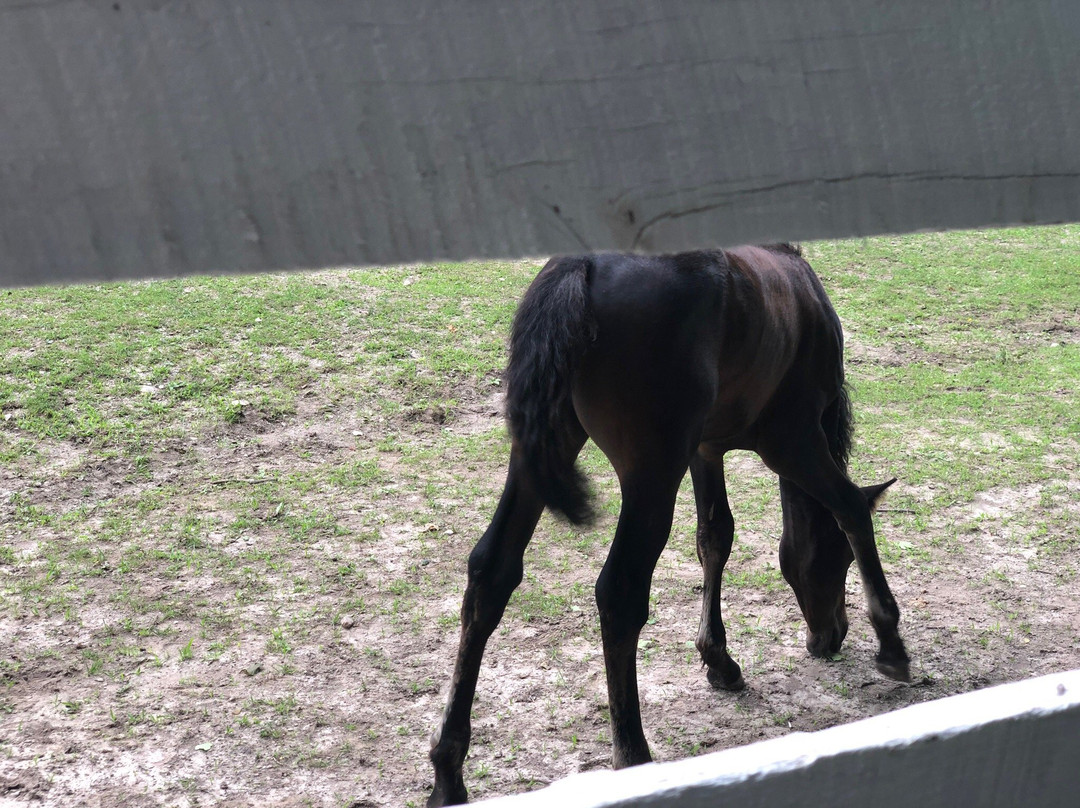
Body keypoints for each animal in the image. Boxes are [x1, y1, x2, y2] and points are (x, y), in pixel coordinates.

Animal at [428, 244, 910, 806]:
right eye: (840, 560)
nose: (830, 636)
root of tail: (582, 268)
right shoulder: (790, 441)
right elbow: (851, 509)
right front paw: (891, 643)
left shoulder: (706, 447)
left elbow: (715, 537)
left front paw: (718, 660)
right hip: (652, 477)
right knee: (619, 593)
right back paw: (632, 756)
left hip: (540, 459)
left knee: (491, 573)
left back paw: (448, 771)